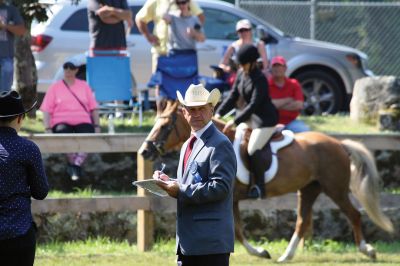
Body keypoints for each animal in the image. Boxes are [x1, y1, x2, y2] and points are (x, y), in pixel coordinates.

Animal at [140, 100, 394, 262]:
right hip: (309, 189)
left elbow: (238, 232)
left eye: (165, 126)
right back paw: (286, 256)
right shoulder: (233, 200)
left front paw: (260, 252)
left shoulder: (228, 195)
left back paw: (368, 250)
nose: (144, 151)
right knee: (303, 221)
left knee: (354, 214)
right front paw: (263, 252)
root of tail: (338, 143)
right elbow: (238, 230)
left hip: (335, 189)